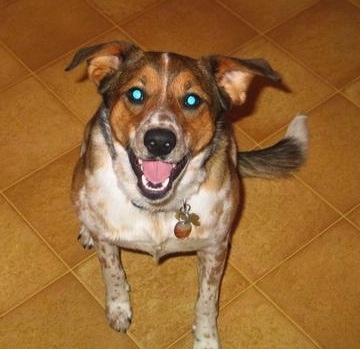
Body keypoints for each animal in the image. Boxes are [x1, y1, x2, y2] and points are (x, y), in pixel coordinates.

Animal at [66, 39, 308, 346]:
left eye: (192, 100)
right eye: (135, 94)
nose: (159, 141)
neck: (157, 208)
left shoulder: (214, 250)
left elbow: (206, 301)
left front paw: (206, 340)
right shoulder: (108, 243)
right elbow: (113, 273)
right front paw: (119, 308)